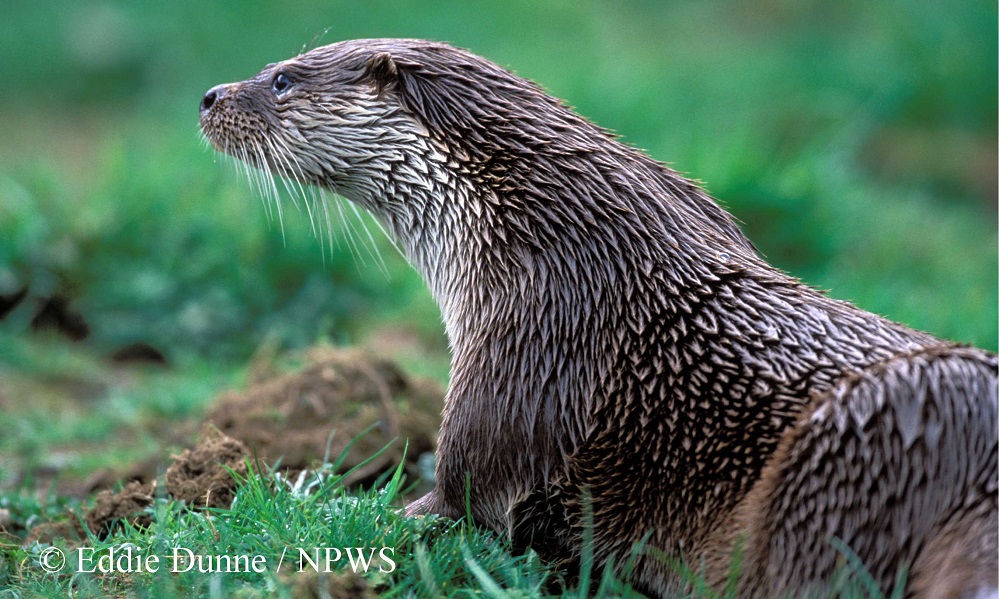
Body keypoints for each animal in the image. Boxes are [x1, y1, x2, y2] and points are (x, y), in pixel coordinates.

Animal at [199, 39, 998, 597]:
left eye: (282, 79)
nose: (209, 95)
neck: (534, 234)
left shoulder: (529, 349)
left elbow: (455, 497)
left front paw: (318, 512)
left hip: (853, 447)